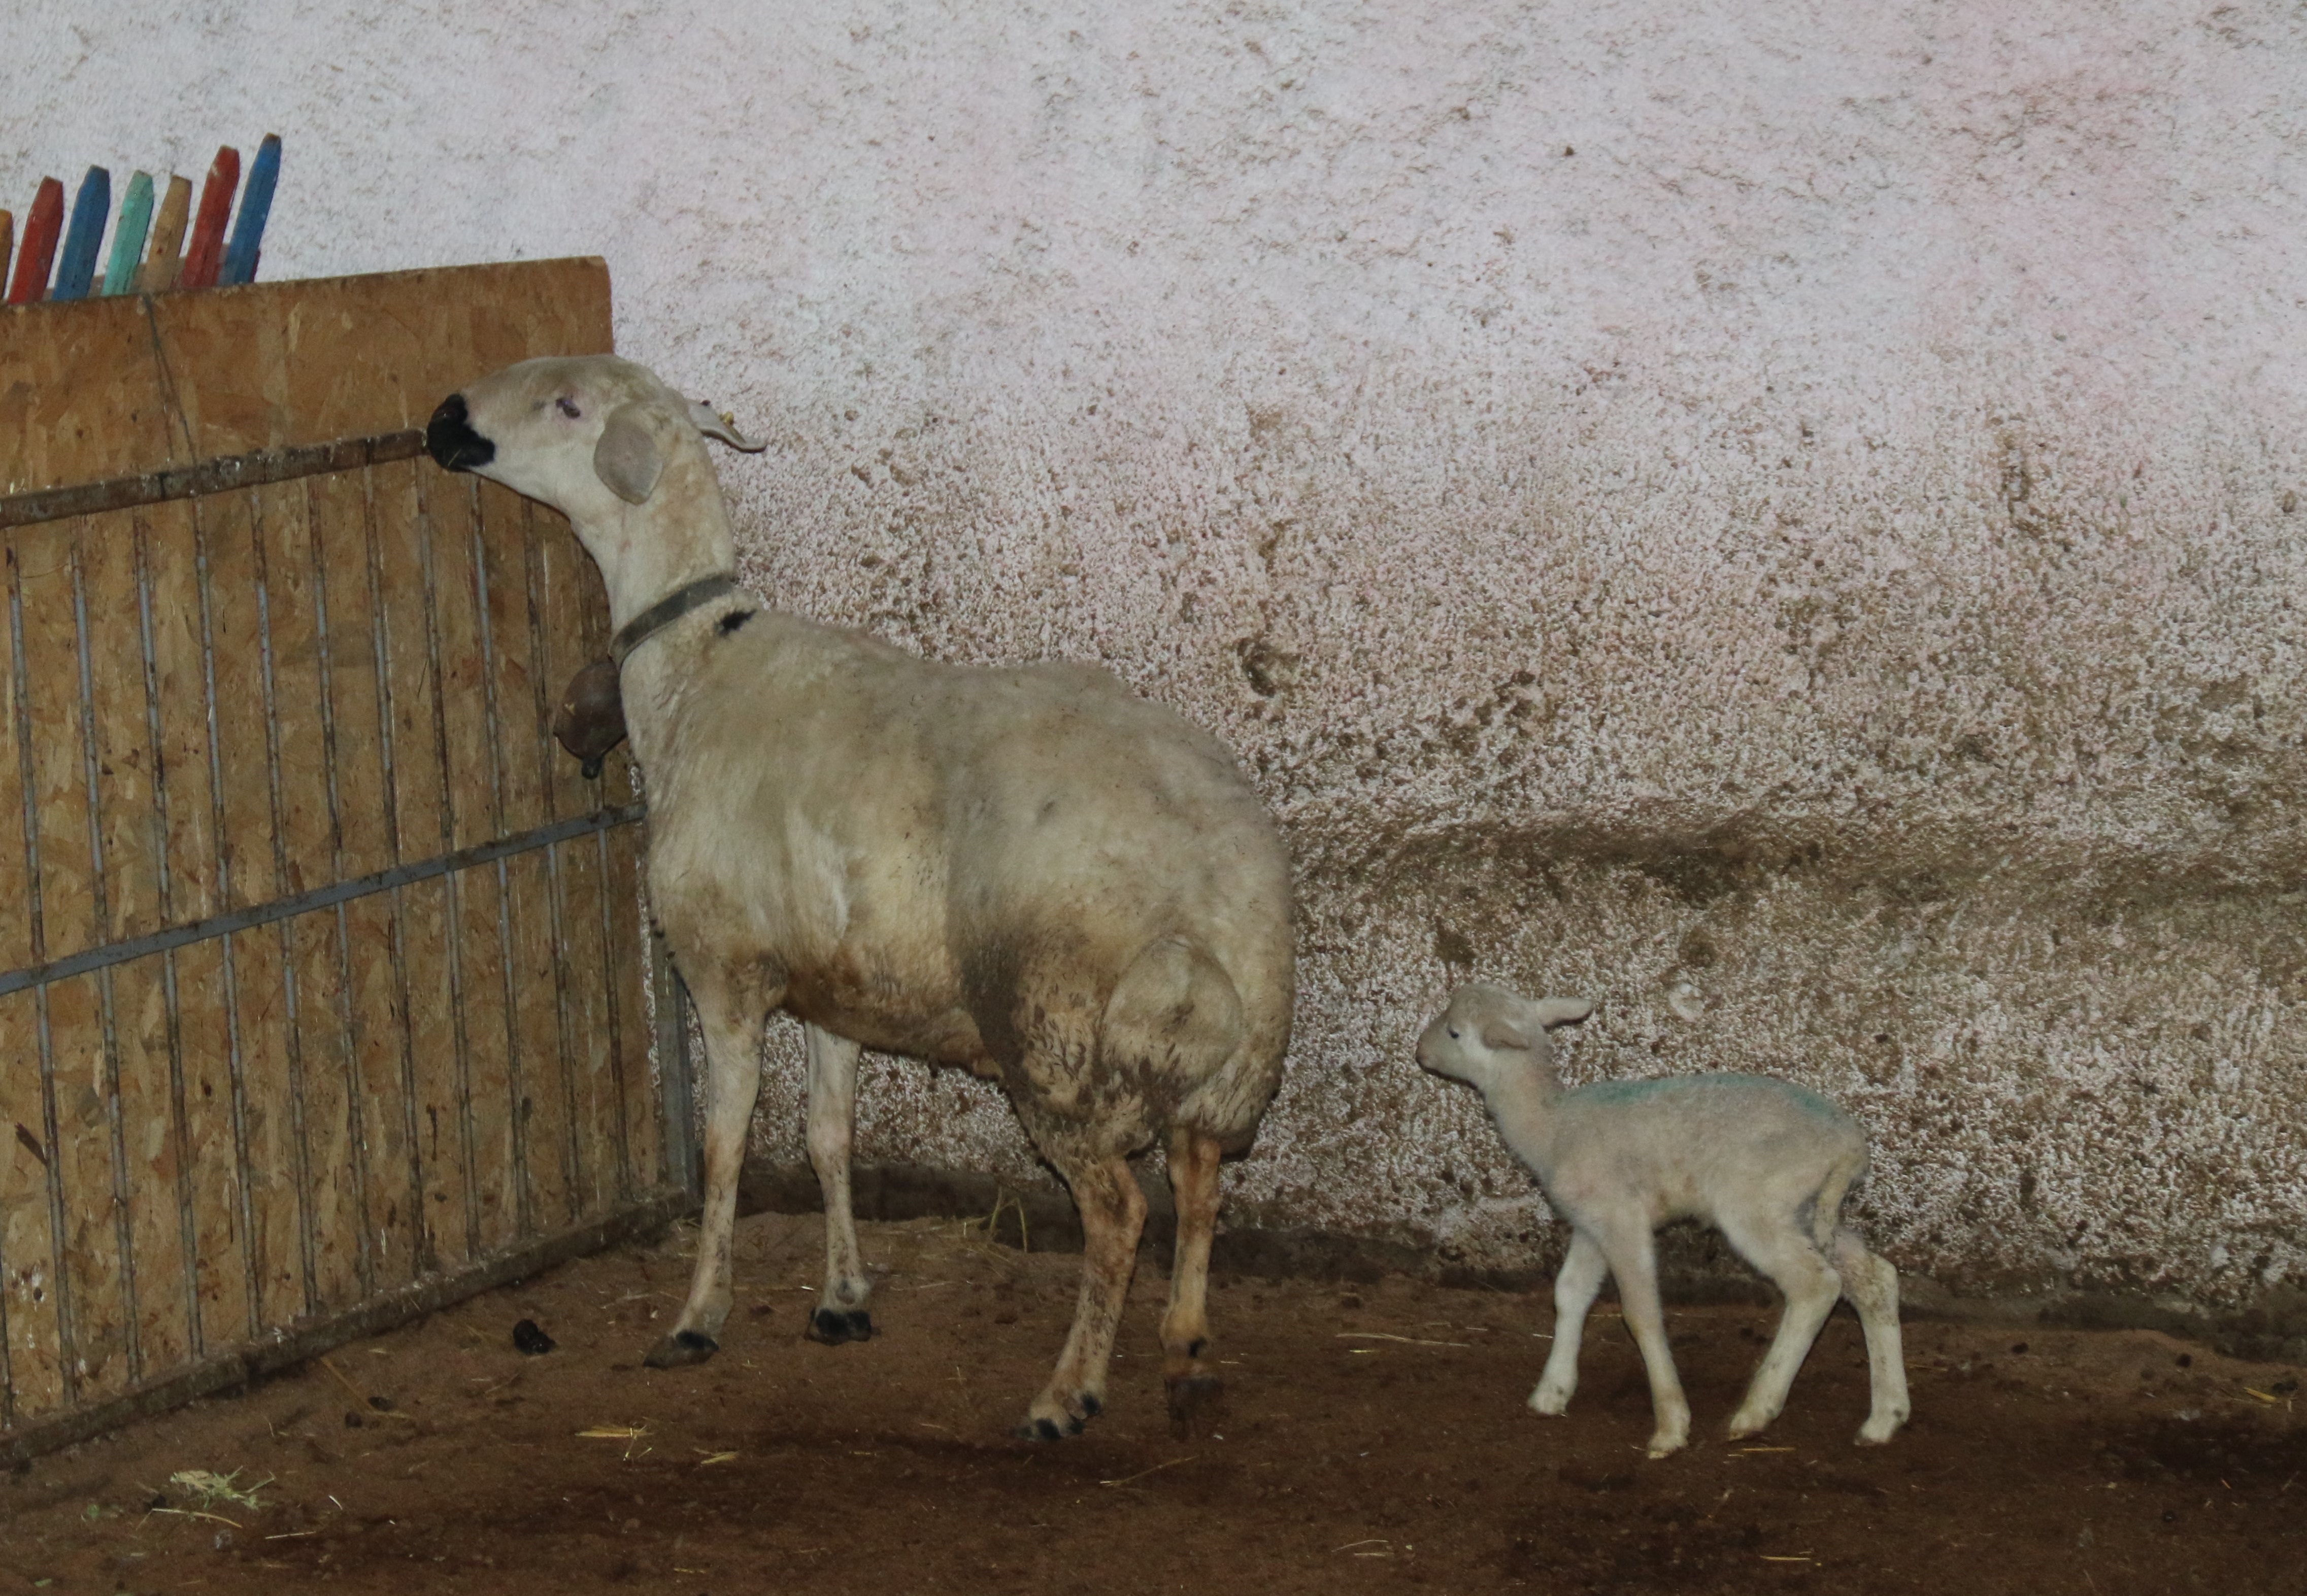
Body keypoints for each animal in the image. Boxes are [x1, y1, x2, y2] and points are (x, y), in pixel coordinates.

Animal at [429, 355, 1301, 1439]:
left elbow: (725, 1145)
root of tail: (1213, 889)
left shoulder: (723, 970)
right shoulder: (835, 985)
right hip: (1227, 1071)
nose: (442, 419)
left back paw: (1069, 1392)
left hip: (1052, 1038)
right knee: (1201, 1178)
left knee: (1120, 1210)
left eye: (567, 403)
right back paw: (1182, 1351)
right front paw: (843, 1300)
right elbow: (827, 1138)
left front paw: (697, 1316)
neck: (698, 663)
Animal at [1412, 977, 1901, 1448]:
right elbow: (1569, 1293)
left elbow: (1640, 1312)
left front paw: (1670, 1425)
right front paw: (1552, 1391)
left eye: (1454, 1032)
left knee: (1815, 1285)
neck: (1552, 1125)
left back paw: (1755, 1411)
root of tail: (1849, 1145)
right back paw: (1884, 1419)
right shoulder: (1591, 1224)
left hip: (1757, 1200)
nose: (1419, 1052)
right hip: (1811, 1208)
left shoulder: (1621, 1217)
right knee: (1874, 1277)